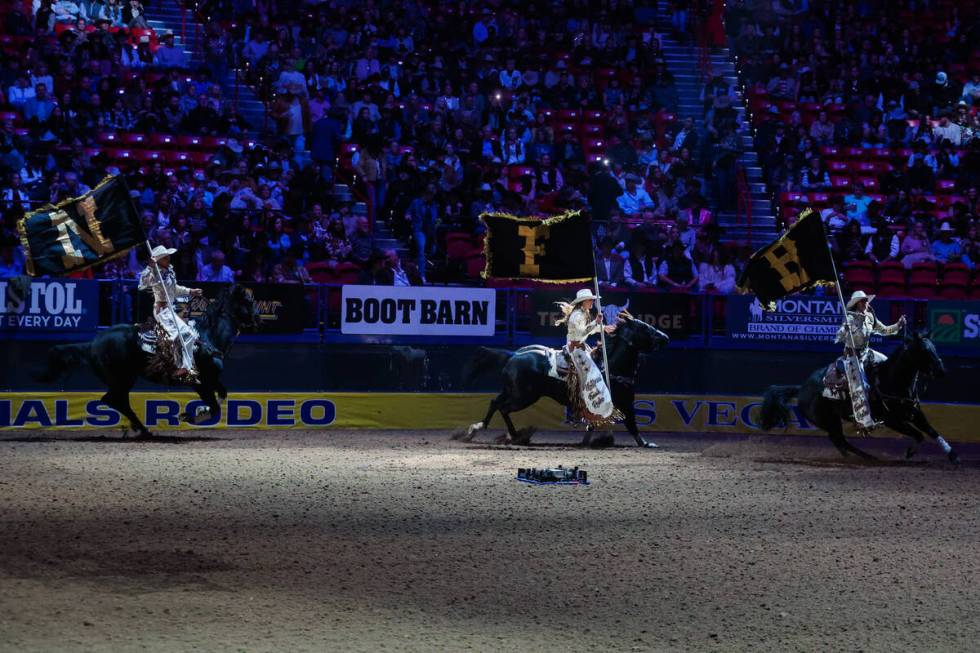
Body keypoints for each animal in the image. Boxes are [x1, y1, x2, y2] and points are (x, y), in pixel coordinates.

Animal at [38, 286, 260, 436]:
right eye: (249, 301)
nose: (258, 319)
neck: (206, 337)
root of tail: (92, 343)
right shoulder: (204, 381)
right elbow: (214, 407)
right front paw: (189, 415)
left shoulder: (207, 382)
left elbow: (221, 397)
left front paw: (194, 413)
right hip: (123, 379)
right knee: (114, 400)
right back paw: (142, 429)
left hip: (122, 381)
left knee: (116, 401)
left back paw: (141, 428)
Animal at [456, 312, 668, 446]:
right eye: (644, 328)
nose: (665, 338)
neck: (610, 366)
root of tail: (513, 354)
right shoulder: (624, 404)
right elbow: (632, 425)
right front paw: (646, 443)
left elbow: (593, 425)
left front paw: (588, 442)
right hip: (523, 397)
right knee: (503, 408)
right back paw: (516, 436)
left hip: (512, 391)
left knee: (494, 403)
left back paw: (475, 430)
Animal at [756, 332, 956, 464]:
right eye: (923, 350)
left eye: (934, 347)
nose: (941, 370)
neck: (891, 381)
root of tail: (802, 388)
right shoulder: (893, 421)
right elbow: (919, 435)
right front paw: (910, 452)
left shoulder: (915, 414)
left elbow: (932, 431)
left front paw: (952, 455)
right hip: (828, 420)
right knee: (839, 440)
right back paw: (867, 457)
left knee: (839, 442)